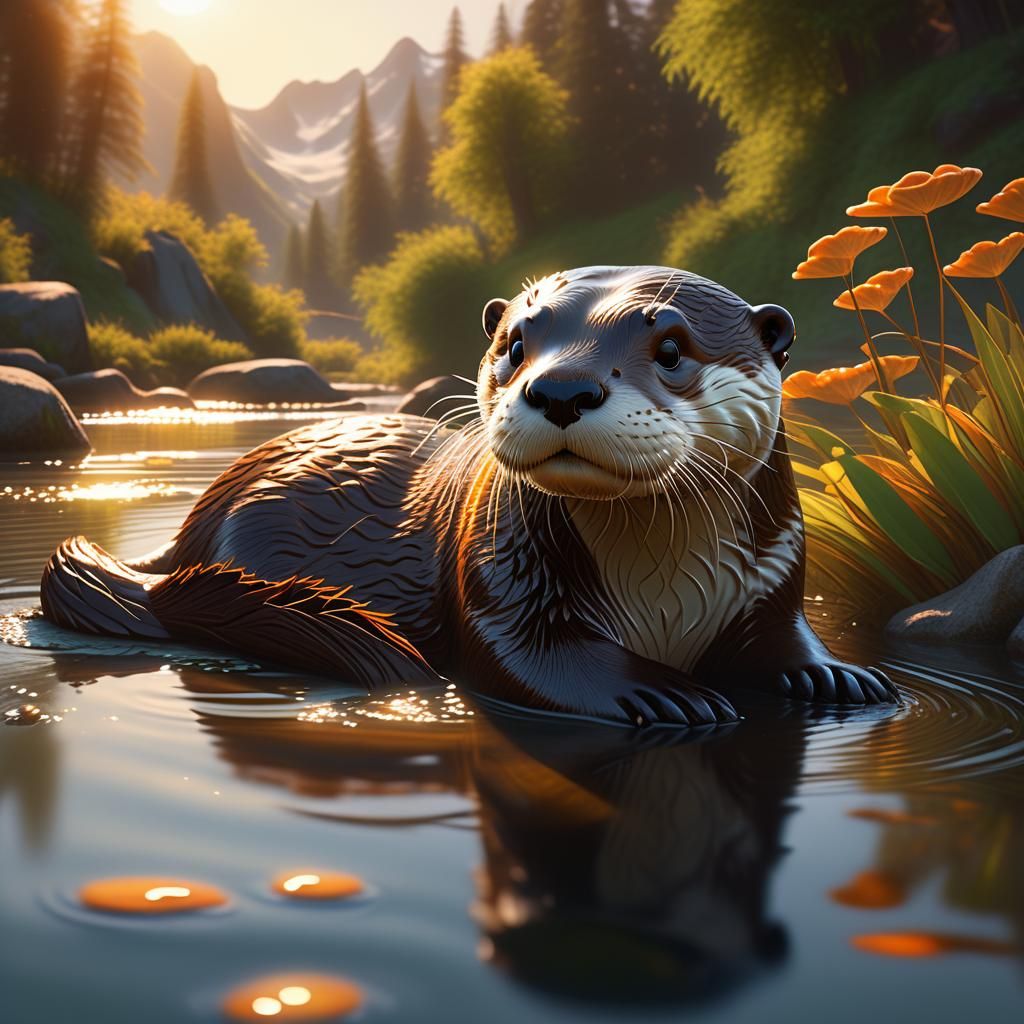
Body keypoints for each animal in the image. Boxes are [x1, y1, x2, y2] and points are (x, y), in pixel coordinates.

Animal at [40, 266, 896, 726]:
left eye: (673, 346)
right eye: (515, 343)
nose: (561, 387)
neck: (666, 587)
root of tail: (197, 517)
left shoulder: (776, 570)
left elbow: (784, 636)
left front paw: (836, 674)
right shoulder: (500, 573)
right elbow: (528, 661)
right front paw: (664, 693)